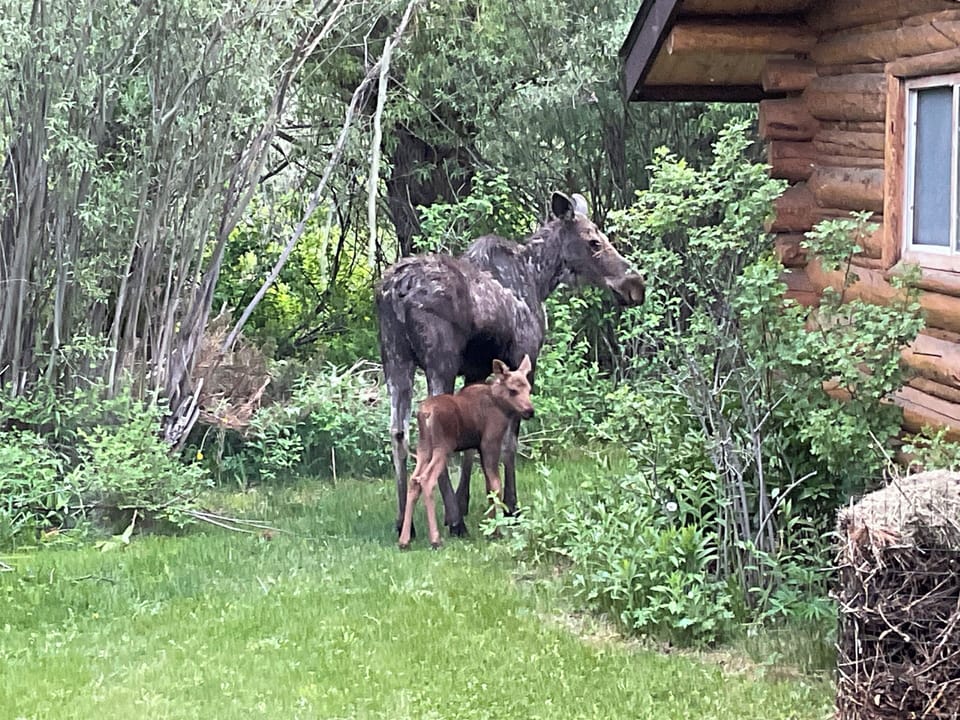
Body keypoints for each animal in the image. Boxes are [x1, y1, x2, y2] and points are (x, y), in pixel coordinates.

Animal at [398, 355, 534, 550]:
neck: (501, 407)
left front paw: (490, 527)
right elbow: (496, 485)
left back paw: (404, 540)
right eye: (513, 390)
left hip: (423, 448)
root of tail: (425, 414)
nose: (530, 411)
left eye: (529, 389)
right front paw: (496, 531)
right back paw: (435, 539)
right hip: (443, 447)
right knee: (427, 480)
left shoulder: (479, 447)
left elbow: (489, 487)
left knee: (414, 480)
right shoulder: (489, 442)